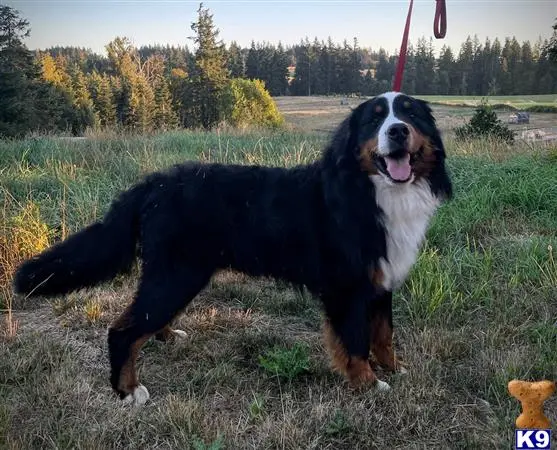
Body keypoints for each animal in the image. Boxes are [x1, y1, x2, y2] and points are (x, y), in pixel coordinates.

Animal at [13, 91, 452, 404]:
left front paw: (394, 370)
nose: (397, 131)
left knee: (146, 321)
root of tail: (152, 184)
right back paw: (128, 391)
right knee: (123, 330)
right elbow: (356, 343)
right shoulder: (347, 289)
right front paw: (368, 384)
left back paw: (167, 336)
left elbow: (384, 335)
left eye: (411, 115)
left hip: (178, 275)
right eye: (376, 118)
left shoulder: (380, 283)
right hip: (176, 274)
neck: (371, 193)